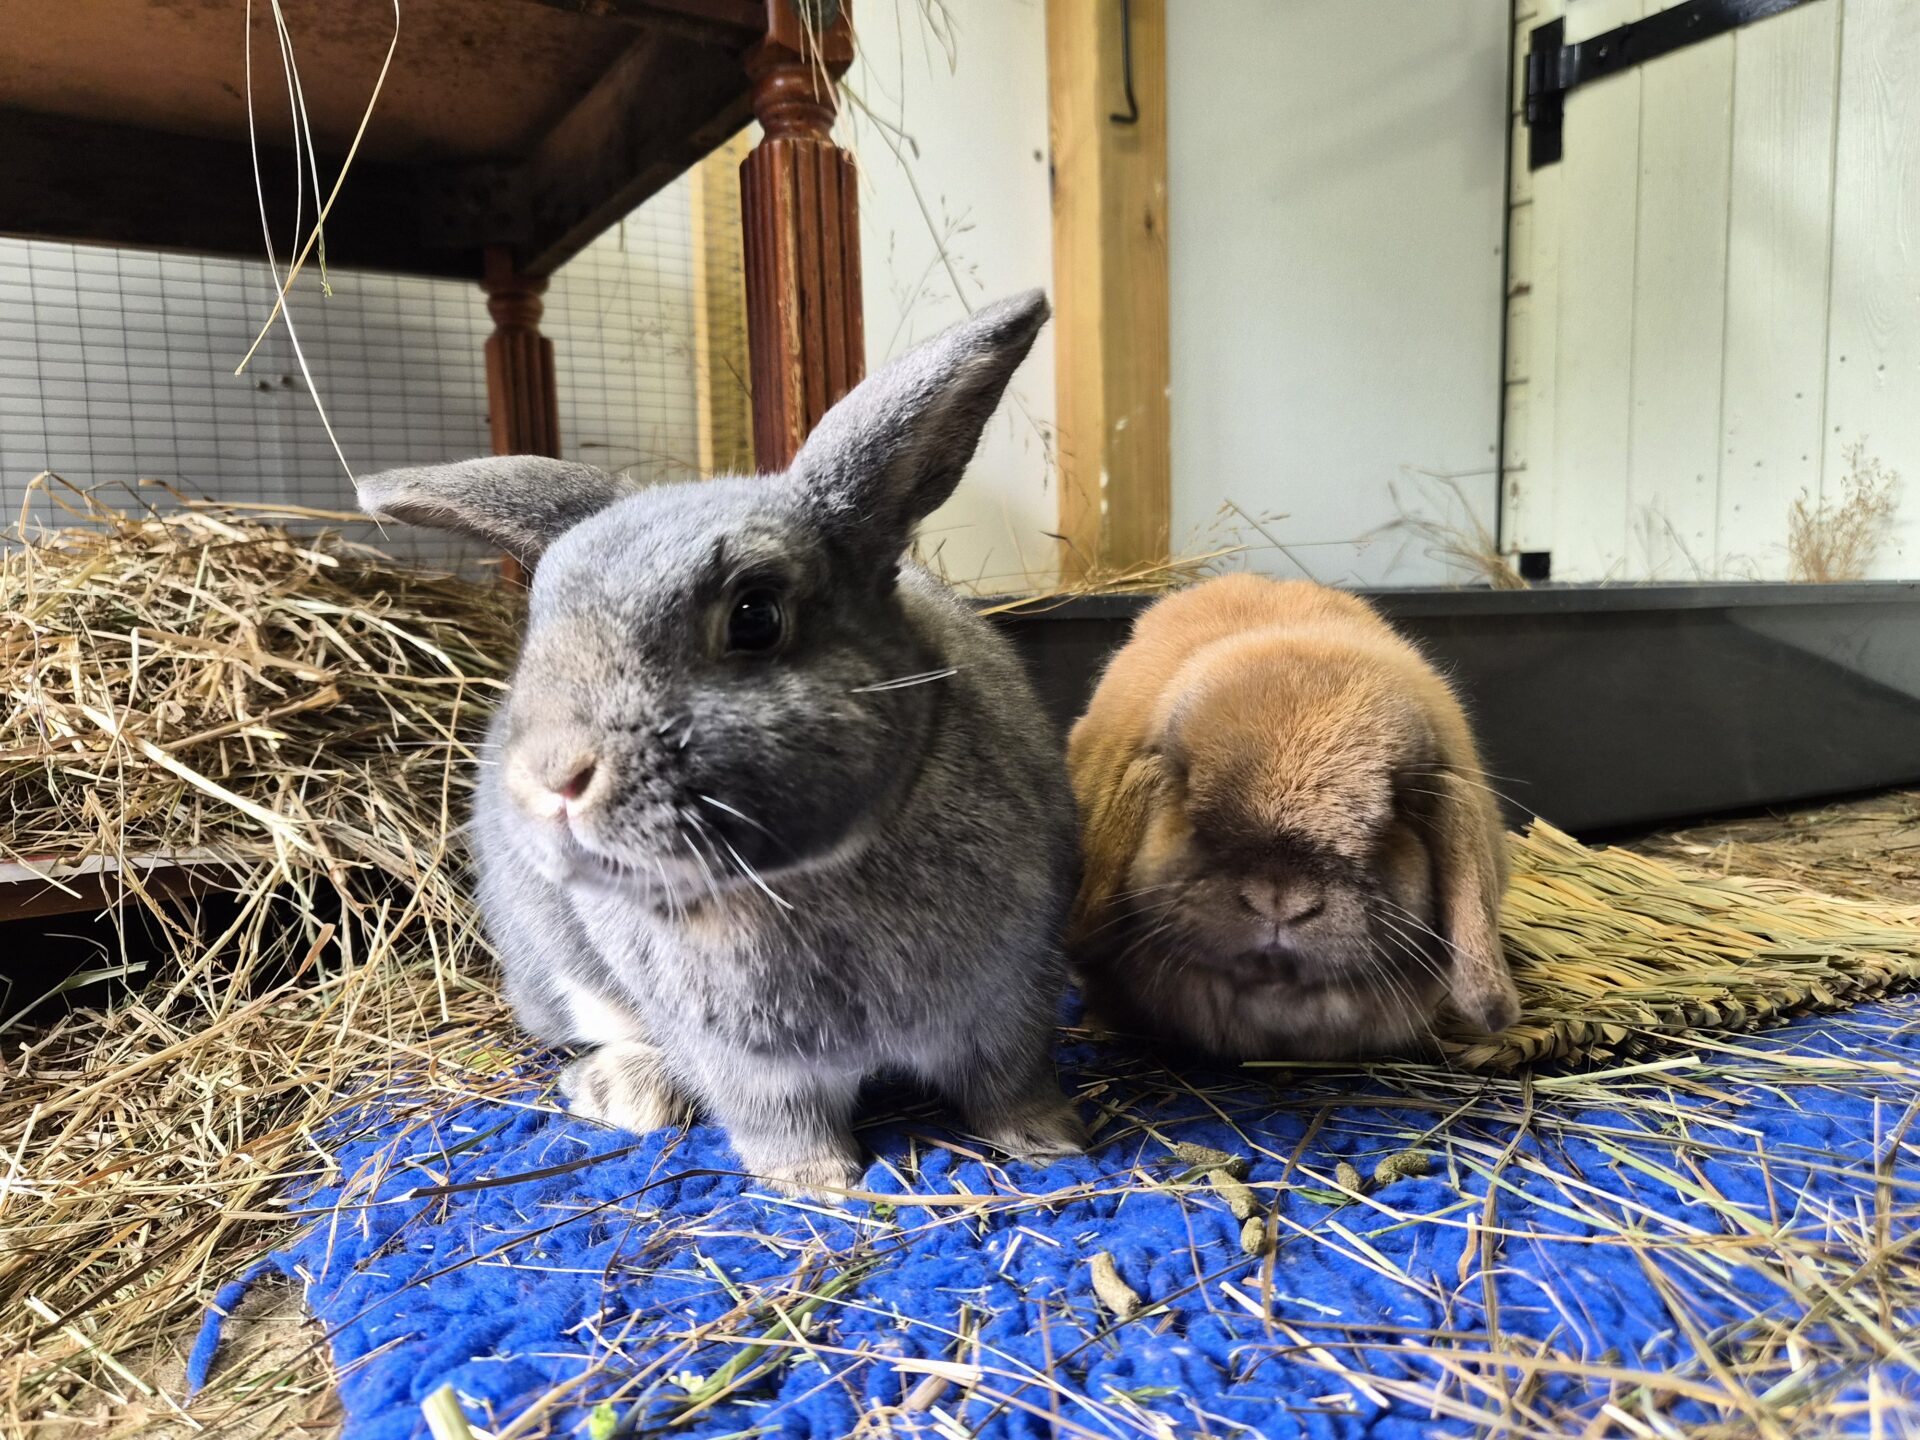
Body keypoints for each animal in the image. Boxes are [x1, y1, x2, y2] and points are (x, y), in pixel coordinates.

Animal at [355, 291, 1083, 1196]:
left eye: (756, 616)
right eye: (539, 623)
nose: (554, 779)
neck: (800, 877)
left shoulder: (1010, 1002)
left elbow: (1010, 1084)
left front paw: (1055, 1142)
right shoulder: (749, 1066)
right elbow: (780, 1122)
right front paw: (819, 1183)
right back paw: (622, 1089)